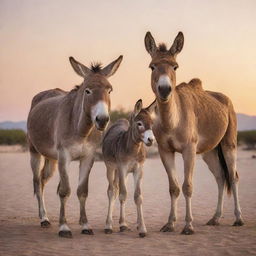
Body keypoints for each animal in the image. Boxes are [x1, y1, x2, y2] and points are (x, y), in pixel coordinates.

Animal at [102, 99, 155, 237]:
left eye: (152, 123)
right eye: (139, 123)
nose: (151, 140)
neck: (133, 149)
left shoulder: (138, 170)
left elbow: (138, 196)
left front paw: (142, 228)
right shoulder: (122, 168)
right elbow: (123, 194)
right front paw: (122, 225)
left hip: (122, 174)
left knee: (116, 190)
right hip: (111, 168)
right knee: (112, 191)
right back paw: (109, 225)